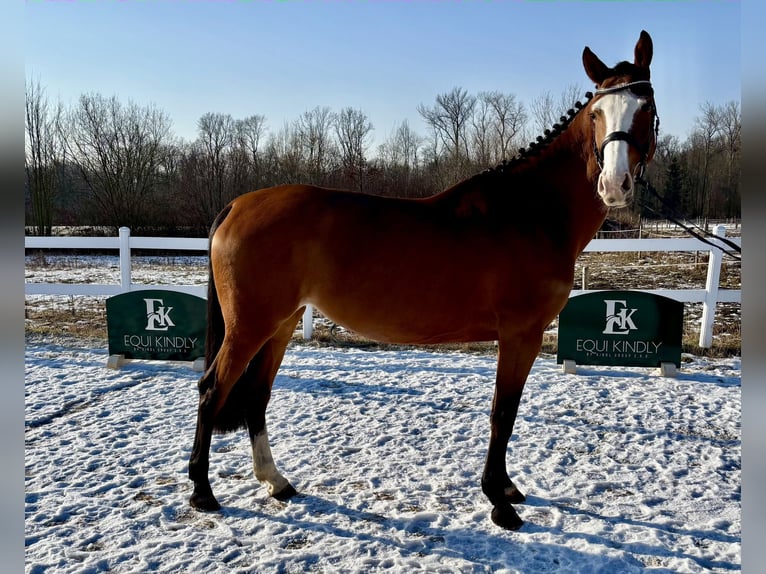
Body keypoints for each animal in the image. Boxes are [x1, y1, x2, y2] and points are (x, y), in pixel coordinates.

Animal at [188, 30, 659, 530]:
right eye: (596, 114)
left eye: (644, 106)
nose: (615, 184)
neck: (531, 211)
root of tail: (237, 205)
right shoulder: (520, 334)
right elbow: (503, 412)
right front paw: (500, 501)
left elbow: (504, 411)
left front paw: (506, 488)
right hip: (249, 327)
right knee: (213, 391)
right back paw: (202, 492)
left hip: (280, 324)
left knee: (257, 395)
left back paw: (276, 482)